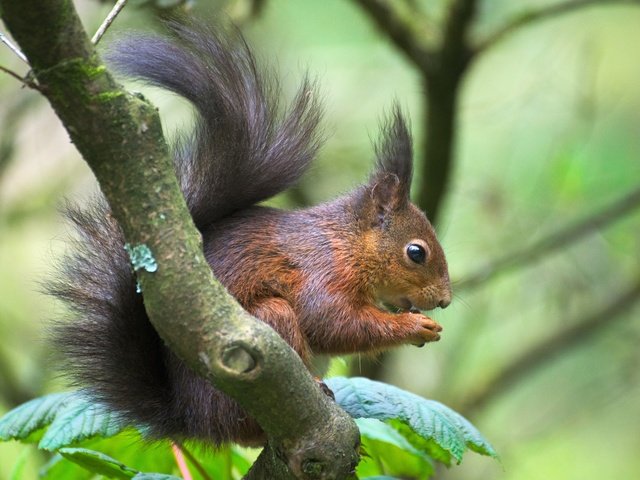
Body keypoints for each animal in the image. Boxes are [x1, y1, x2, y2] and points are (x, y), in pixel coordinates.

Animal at [48, 18, 450, 446]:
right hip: (266, 328)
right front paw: (415, 326)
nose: (444, 300)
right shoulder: (321, 271)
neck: (347, 242)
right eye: (416, 252)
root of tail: (195, 420)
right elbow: (332, 322)